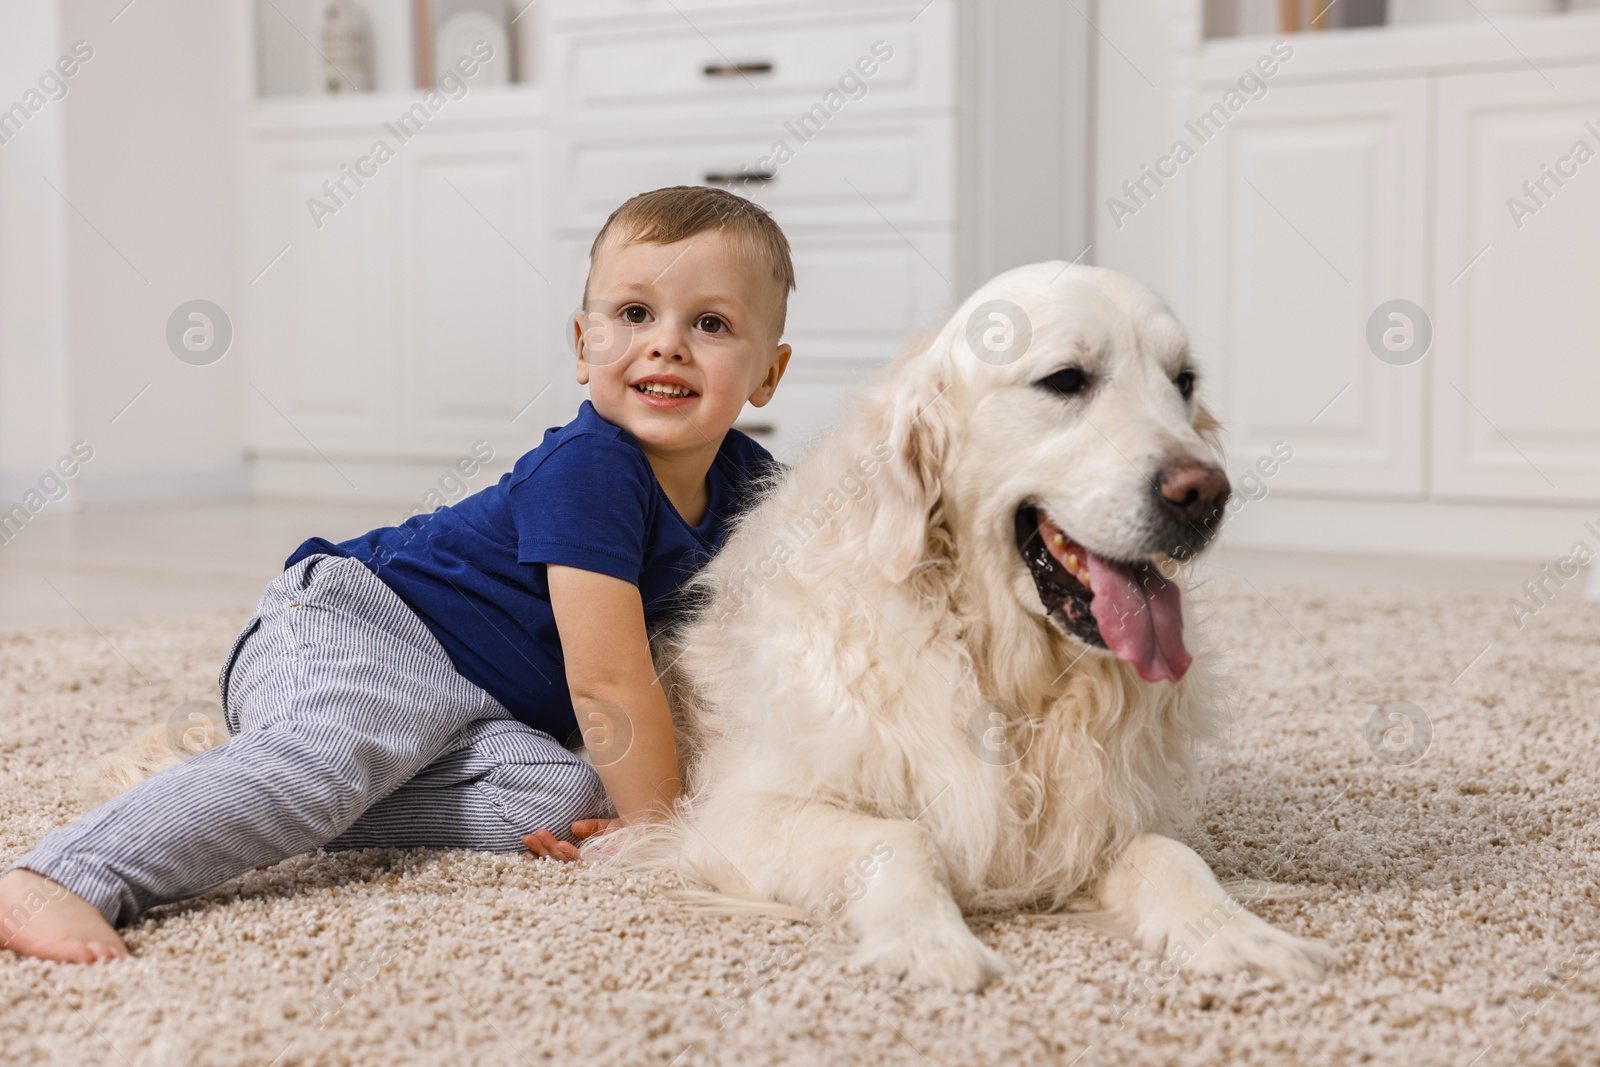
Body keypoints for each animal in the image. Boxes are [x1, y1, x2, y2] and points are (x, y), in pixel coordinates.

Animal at [611, 265, 1337, 991]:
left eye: (1182, 381)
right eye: (1066, 379)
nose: (1205, 495)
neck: (1003, 670)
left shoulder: (1095, 821)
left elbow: (1172, 855)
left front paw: (1242, 934)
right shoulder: (734, 812)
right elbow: (899, 836)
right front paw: (930, 942)